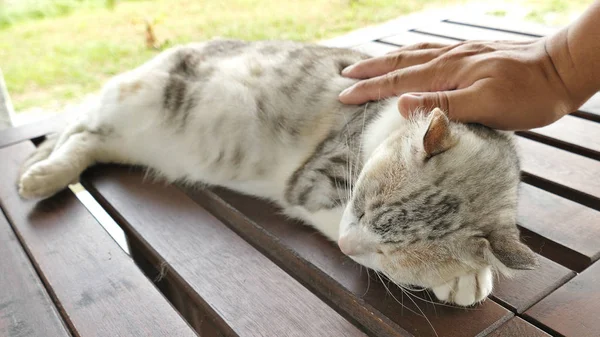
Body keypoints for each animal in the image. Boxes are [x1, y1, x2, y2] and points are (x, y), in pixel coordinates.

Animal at [17, 38, 540, 306]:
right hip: (133, 99)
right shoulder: (316, 183)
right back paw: (38, 174)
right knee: (76, 131)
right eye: (360, 205)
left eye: (394, 255)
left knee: (88, 140)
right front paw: (464, 277)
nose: (348, 245)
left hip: (129, 136)